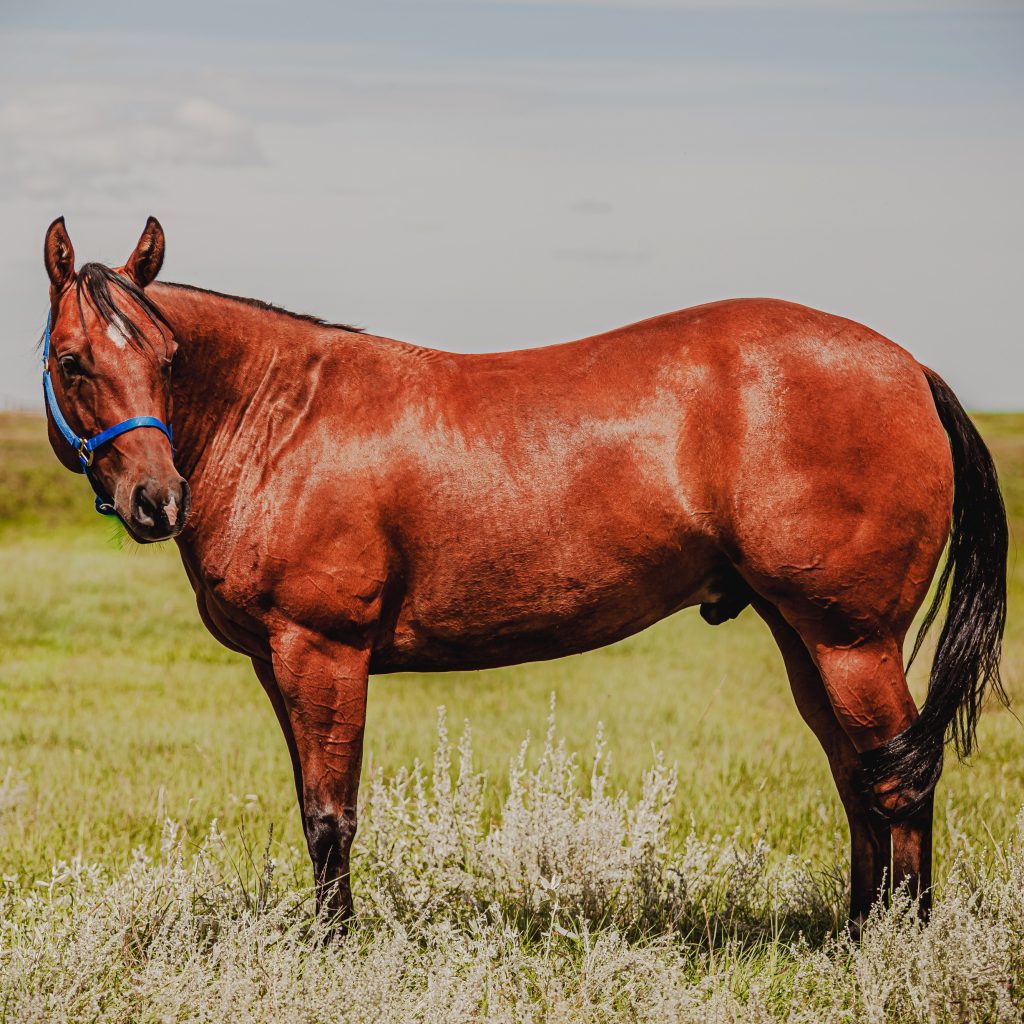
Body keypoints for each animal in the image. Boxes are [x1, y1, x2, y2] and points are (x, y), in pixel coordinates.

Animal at [40, 216, 1007, 936]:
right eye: (75, 361)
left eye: (168, 358)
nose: (157, 499)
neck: (282, 416)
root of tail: (908, 368)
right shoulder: (279, 664)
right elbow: (311, 803)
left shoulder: (324, 652)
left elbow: (330, 815)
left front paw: (333, 948)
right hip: (805, 636)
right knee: (859, 777)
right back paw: (858, 932)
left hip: (853, 641)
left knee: (899, 779)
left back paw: (900, 945)